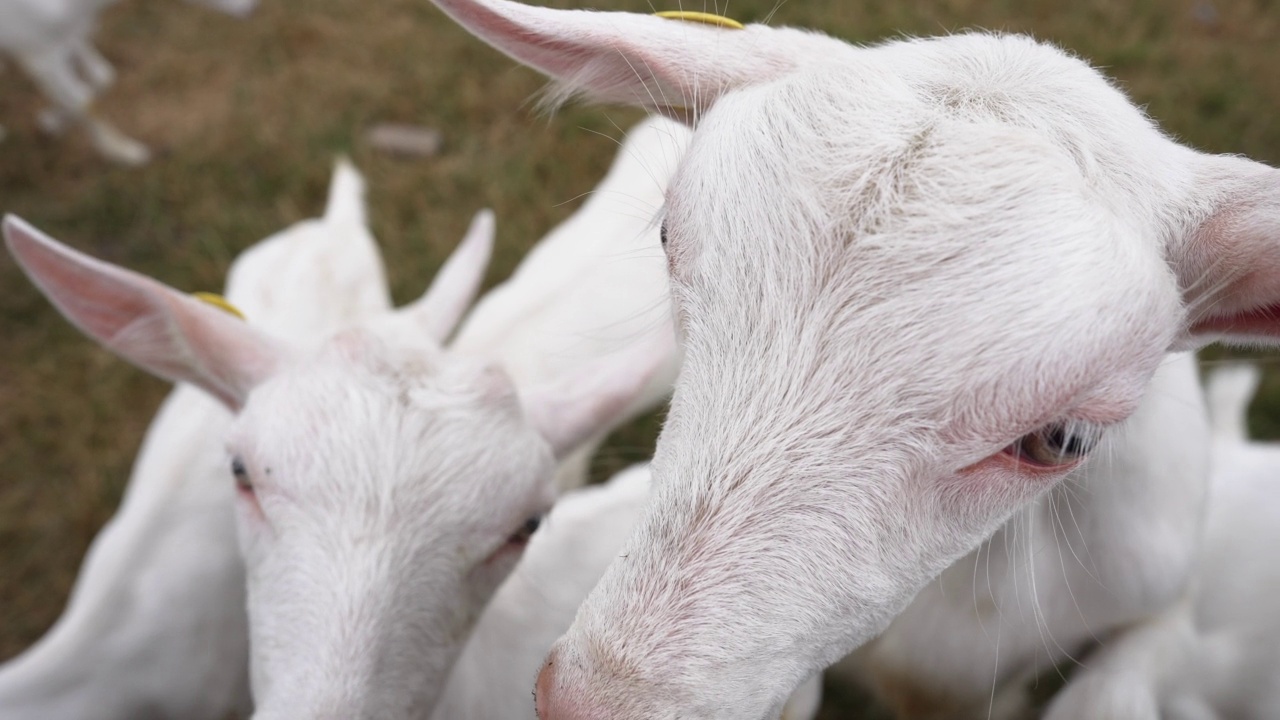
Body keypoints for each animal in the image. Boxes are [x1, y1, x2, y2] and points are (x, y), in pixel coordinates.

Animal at [0, 0, 257, 163]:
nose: (252, 7)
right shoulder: (38, 53)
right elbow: (86, 101)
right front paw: (133, 155)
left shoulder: (66, 37)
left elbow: (102, 78)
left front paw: (49, 123)